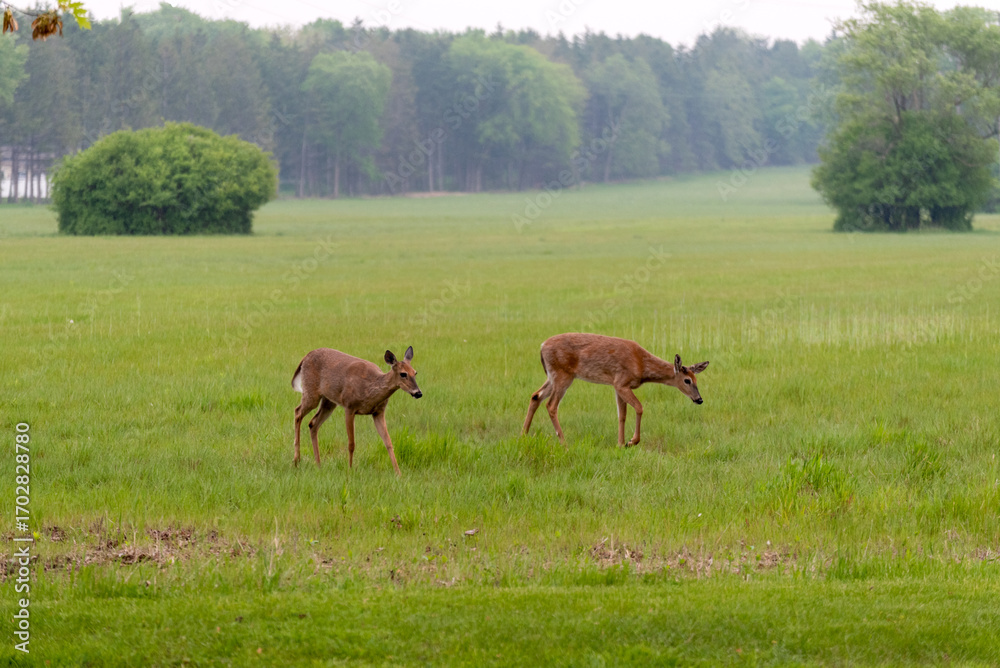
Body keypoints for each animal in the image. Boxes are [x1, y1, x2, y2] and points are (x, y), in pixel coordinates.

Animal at [292, 346, 422, 476]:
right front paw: (350, 470)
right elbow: (351, 444)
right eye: (403, 374)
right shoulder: (349, 406)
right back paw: (296, 461)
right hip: (311, 392)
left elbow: (388, 442)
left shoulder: (378, 412)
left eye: (415, 372)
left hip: (329, 401)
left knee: (312, 423)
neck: (369, 389)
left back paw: (318, 465)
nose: (418, 393)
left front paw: (398, 473)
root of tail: (305, 357)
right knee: (298, 412)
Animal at [522, 333, 708, 447]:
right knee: (551, 405)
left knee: (535, 396)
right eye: (687, 380)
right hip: (563, 375)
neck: (641, 365)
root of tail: (542, 346)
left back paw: (523, 435)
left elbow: (621, 415)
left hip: (552, 376)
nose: (699, 399)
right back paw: (564, 443)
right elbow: (639, 407)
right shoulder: (622, 382)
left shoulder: (617, 385)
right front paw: (631, 441)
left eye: (697, 379)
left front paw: (620, 443)